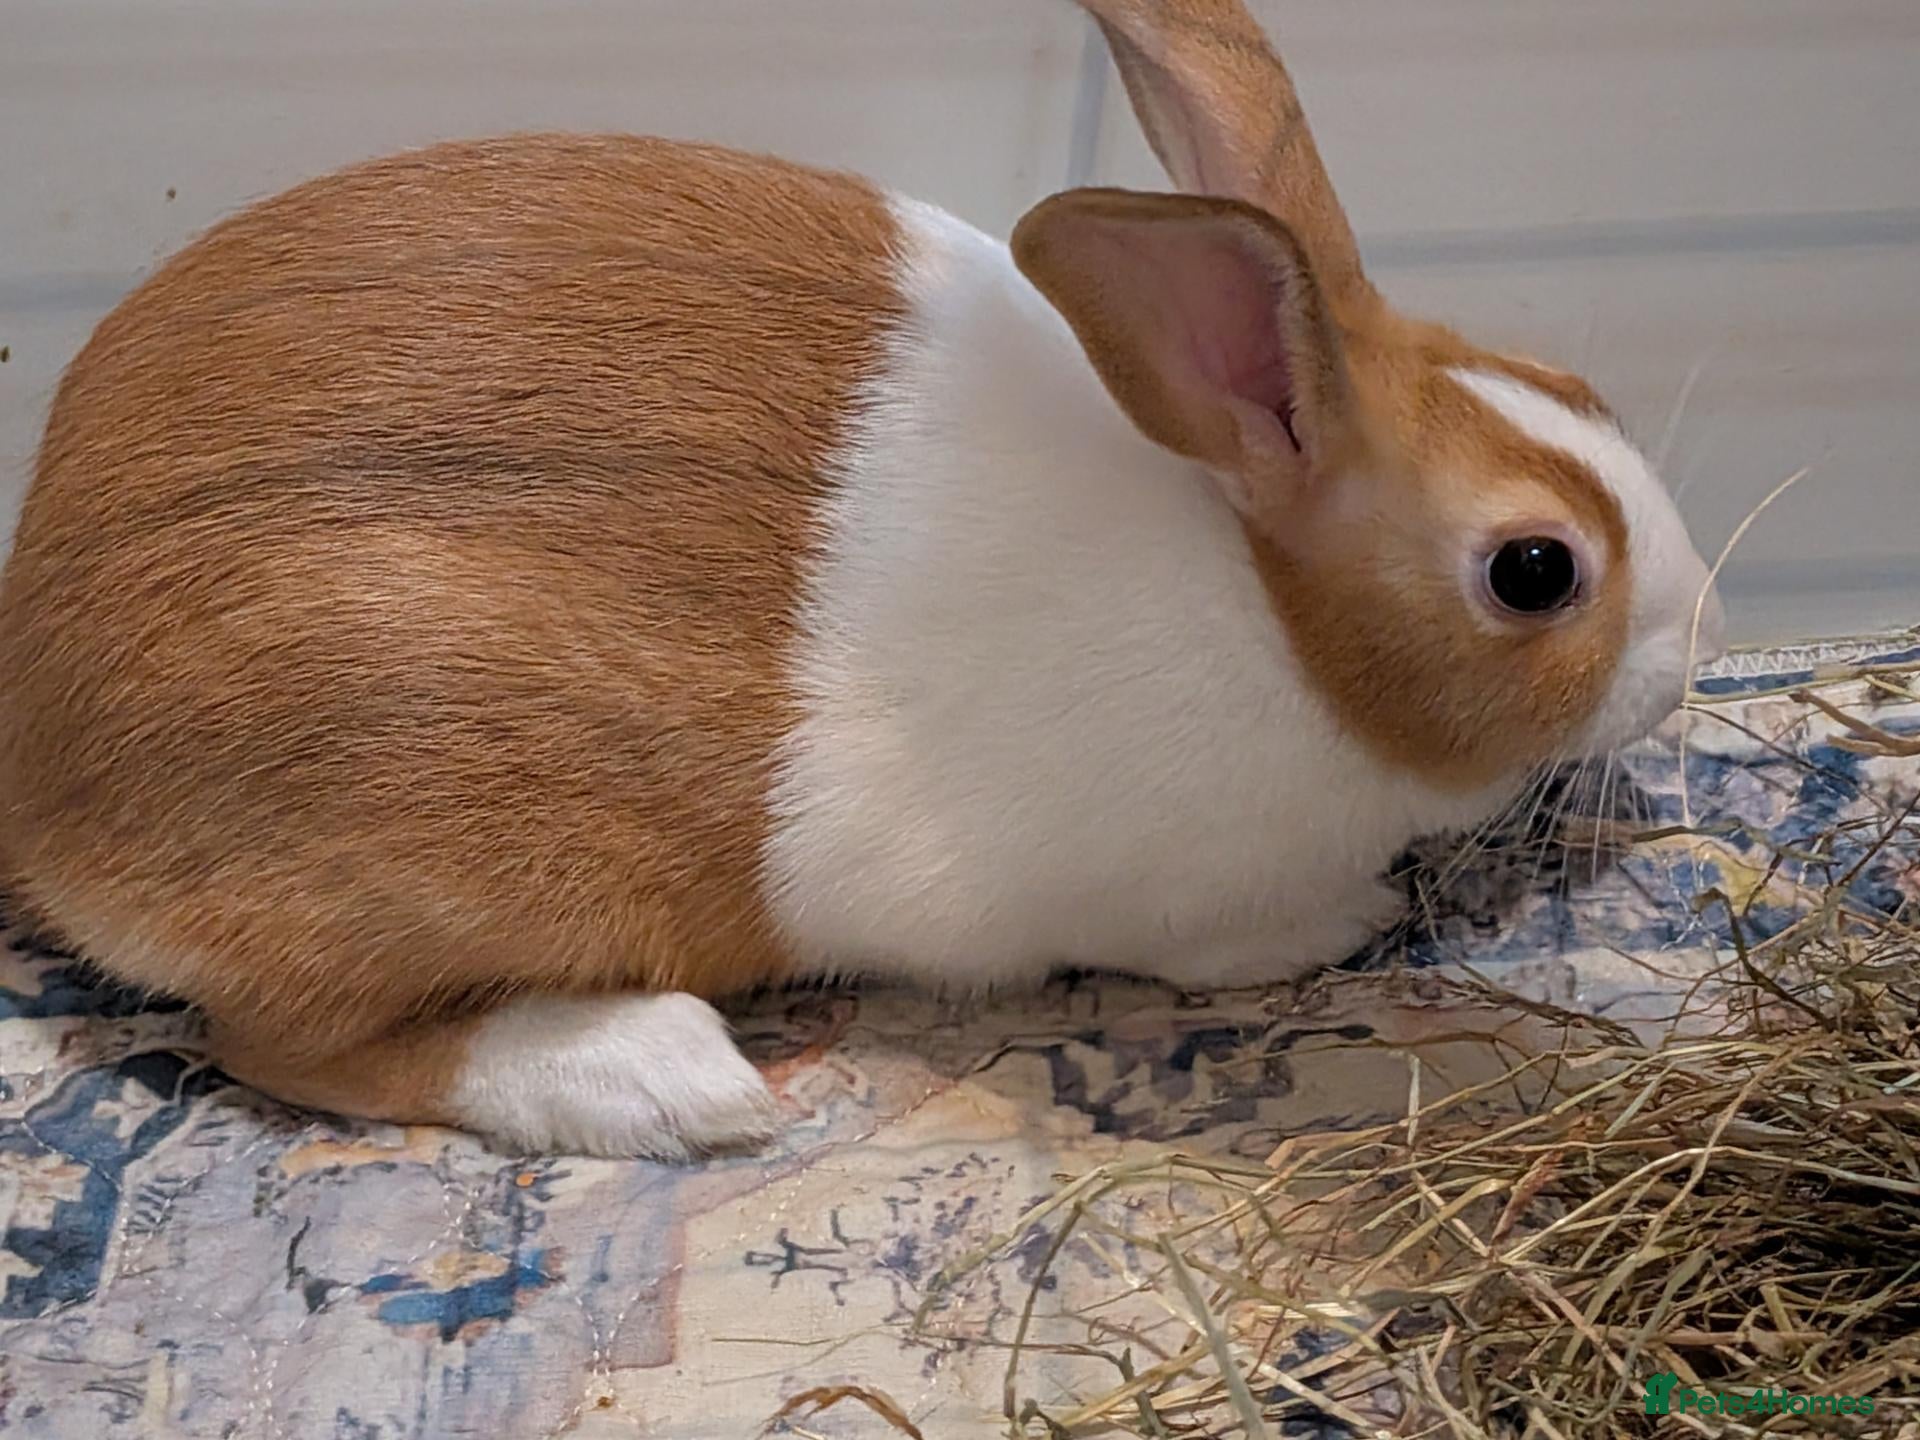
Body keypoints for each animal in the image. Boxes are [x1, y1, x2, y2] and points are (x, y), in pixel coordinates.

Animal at [0, 0, 1724, 1159]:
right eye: (1534, 572)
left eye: (1567, 380)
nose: (1695, 643)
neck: (1272, 607)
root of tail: (44, 776)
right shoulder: (1152, 897)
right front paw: (1341, 923)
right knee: (275, 1043)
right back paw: (661, 1080)